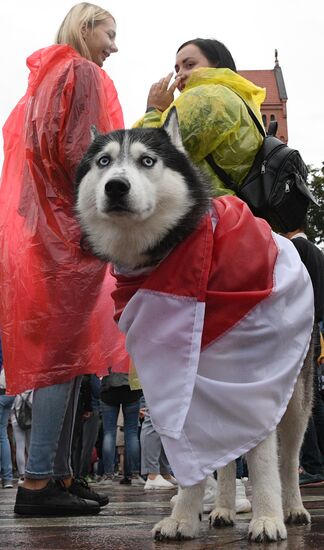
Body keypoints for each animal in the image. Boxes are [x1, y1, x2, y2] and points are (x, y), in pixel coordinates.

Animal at [76, 110, 314, 544]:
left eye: (147, 160)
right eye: (103, 162)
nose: (116, 186)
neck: (173, 255)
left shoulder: (256, 379)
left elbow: (263, 460)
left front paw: (267, 517)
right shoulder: (176, 381)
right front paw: (184, 518)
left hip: (295, 397)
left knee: (288, 458)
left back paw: (292, 507)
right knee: (225, 455)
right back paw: (221, 509)